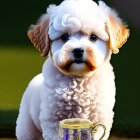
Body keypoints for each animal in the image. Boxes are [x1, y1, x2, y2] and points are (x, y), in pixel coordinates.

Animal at [15, 0, 130, 139]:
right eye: (65, 36)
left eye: (93, 37)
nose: (78, 50)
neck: (79, 79)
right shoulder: (52, 119)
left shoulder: (100, 117)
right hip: (26, 126)